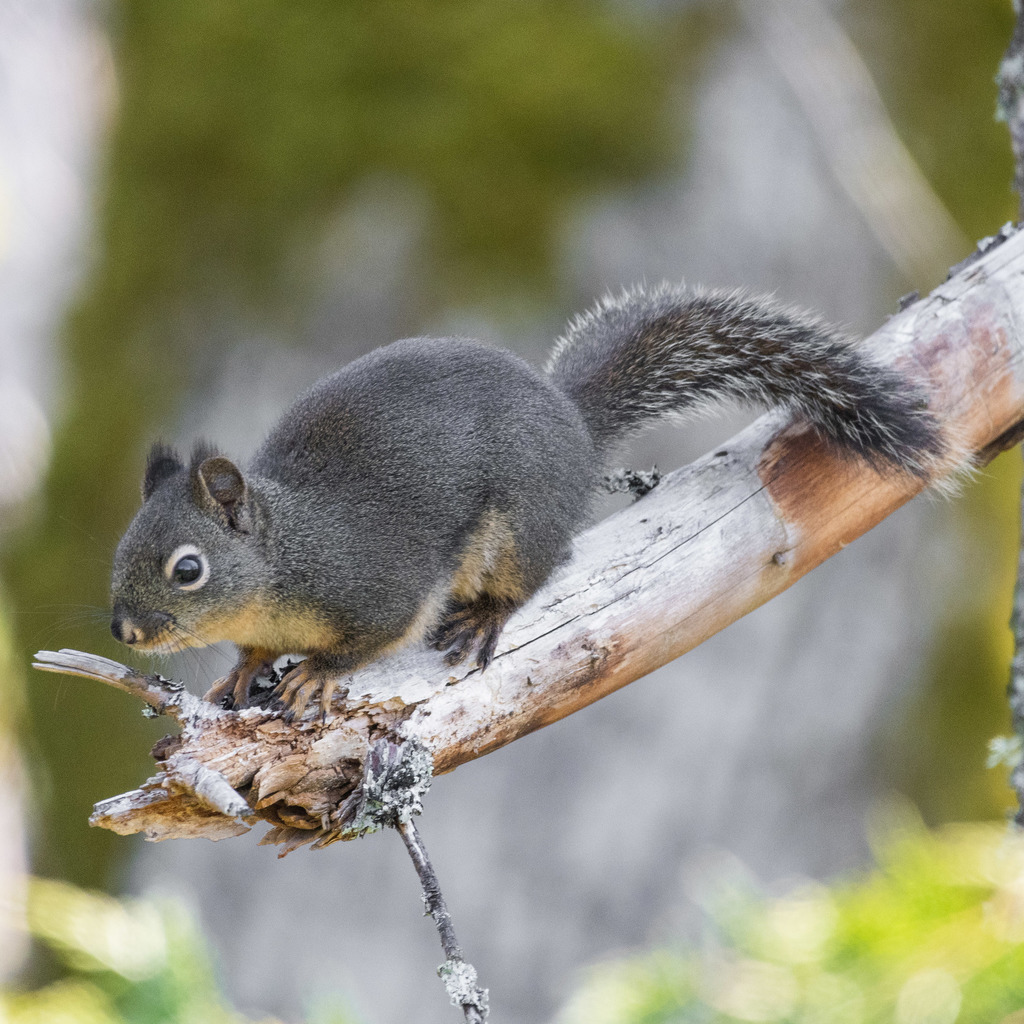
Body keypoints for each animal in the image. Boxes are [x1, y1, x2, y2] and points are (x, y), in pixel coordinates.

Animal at [110, 284, 946, 719]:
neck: (284, 558)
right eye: (119, 552)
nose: (125, 630)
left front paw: (317, 671)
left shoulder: (377, 584)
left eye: (188, 569)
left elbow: (373, 637)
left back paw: (484, 615)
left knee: (534, 573)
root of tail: (572, 427)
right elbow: (252, 650)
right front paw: (244, 668)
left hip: (517, 530)